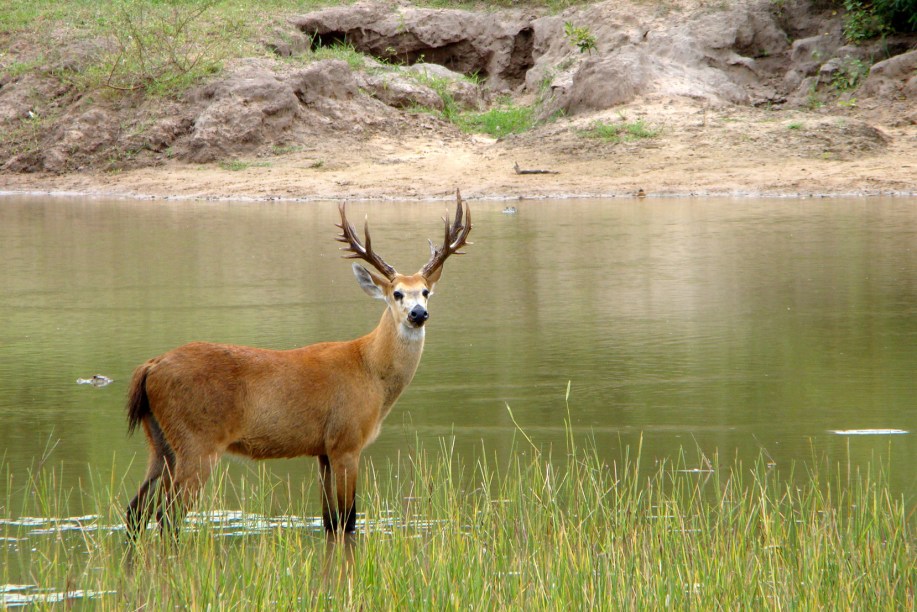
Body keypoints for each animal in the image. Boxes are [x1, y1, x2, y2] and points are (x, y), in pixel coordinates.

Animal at [122, 190, 472, 536]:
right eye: (397, 293)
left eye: (425, 292)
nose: (418, 314)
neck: (371, 371)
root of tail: (151, 367)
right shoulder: (346, 440)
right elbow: (348, 520)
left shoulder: (323, 450)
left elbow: (331, 523)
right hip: (197, 441)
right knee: (167, 517)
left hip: (161, 443)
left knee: (135, 512)